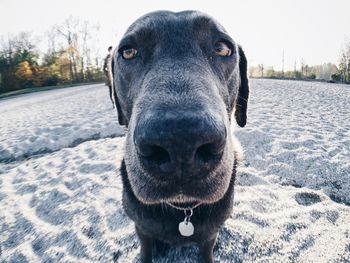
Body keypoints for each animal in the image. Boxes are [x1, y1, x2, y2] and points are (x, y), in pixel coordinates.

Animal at [112, 10, 249, 263]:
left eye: (223, 49)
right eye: (128, 52)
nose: (180, 141)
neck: (183, 209)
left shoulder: (209, 235)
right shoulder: (141, 228)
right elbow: (145, 249)